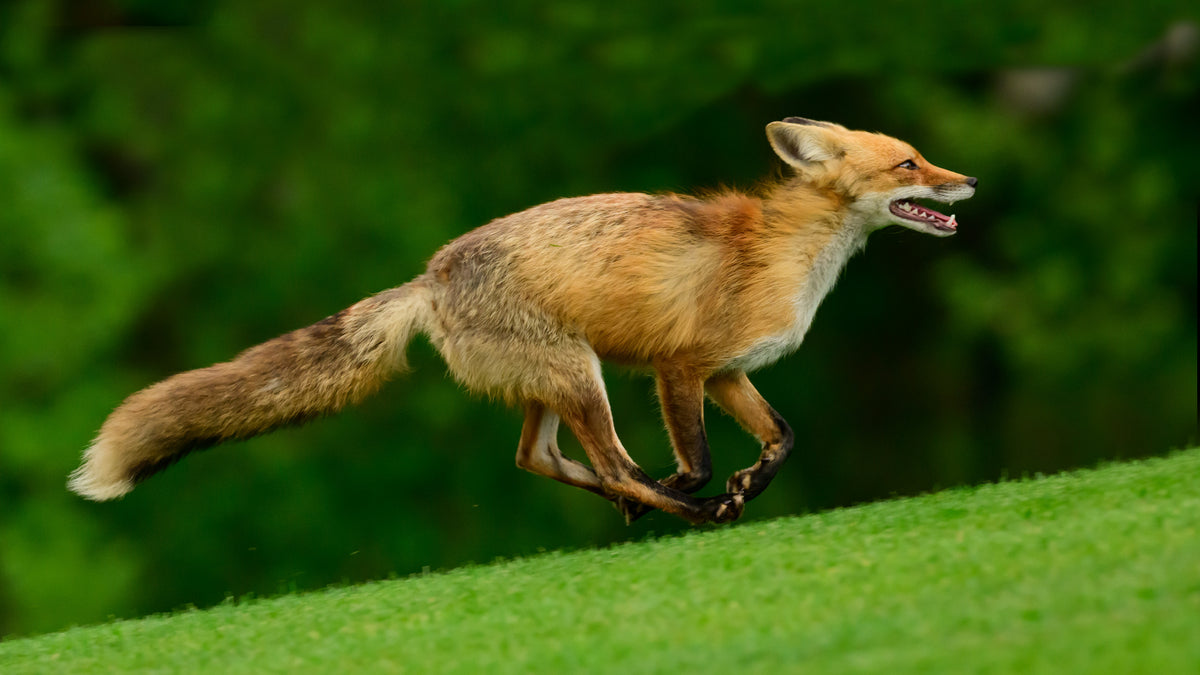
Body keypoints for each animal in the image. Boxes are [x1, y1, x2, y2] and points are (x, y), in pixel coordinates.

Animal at [68, 117, 976, 525]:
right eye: (909, 163)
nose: (966, 181)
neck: (788, 253)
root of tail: (429, 278)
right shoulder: (680, 367)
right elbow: (703, 453)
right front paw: (712, 488)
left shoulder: (728, 372)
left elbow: (783, 435)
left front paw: (749, 481)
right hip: (583, 375)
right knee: (607, 462)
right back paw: (672, 508)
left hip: (554, 382)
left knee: (537, 456)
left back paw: (650, 503)